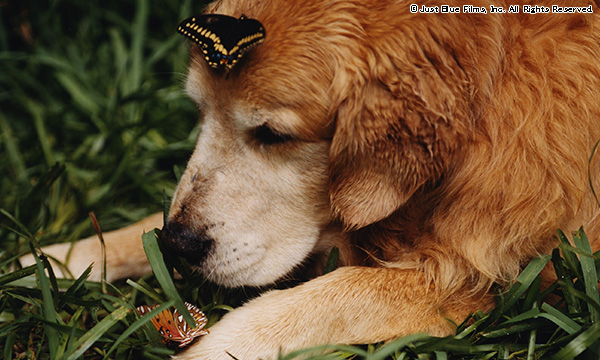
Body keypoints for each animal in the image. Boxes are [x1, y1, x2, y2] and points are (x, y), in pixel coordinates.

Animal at [28, 0, 600, 358]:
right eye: (200, 113)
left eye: (273, 134)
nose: (179, 247)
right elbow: (148, 219)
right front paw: (57, 259)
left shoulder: (505, 279)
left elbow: (333, 295)